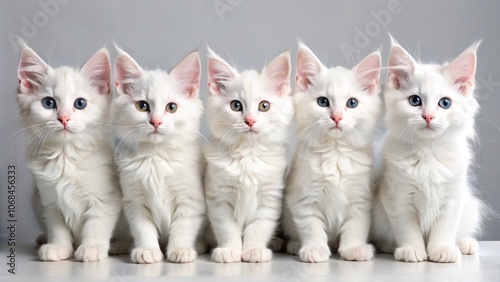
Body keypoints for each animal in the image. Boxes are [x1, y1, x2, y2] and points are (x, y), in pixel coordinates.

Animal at [16, 43, 122, 262]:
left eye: (80, 103)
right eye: (48, 103)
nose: (64, 118)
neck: (65, 157)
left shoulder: (106, 199)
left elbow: (96, 224)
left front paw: (91, 248)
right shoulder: (50, 202)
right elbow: (58, 228)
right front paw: (58, 248)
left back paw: (119, 245)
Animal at [113, 46, 205, 264]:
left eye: (171, 107)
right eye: (142, 106)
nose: (155, 122)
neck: (156, 157)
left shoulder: (190, 200)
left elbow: (183, 228)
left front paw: (180, 250)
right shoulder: (135, 201)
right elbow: (143, 229)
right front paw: (146, 250)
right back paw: (120, 245)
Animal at [204, 46, 292, 262]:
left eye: (264, 106)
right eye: (236, 106)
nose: (250, 120)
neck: (248, 155)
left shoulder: (270, 197)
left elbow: (259, 227)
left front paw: (254, 249)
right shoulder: (218, 198)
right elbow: (227, 228)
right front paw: (229, 250)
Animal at [284, 43, 380, 264]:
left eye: (352, 103)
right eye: (323, 102)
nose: (336, 117)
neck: (336, 153)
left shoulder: (360, 200)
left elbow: (355, 227)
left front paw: (354, 249)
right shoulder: (303, 200)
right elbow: (312, 227)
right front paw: (314, 249)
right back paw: (294, 245)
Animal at [372, 38, 484, 264]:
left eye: (445, 103)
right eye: (415, 100)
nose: (428, 117)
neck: (428, 153)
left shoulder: (453, 196)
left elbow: (445, 227)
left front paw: (442, 250)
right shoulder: (397, 197)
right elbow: (407, 229)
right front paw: (412, 250)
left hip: (470, 206)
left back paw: (465, 244)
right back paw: (390, 246)